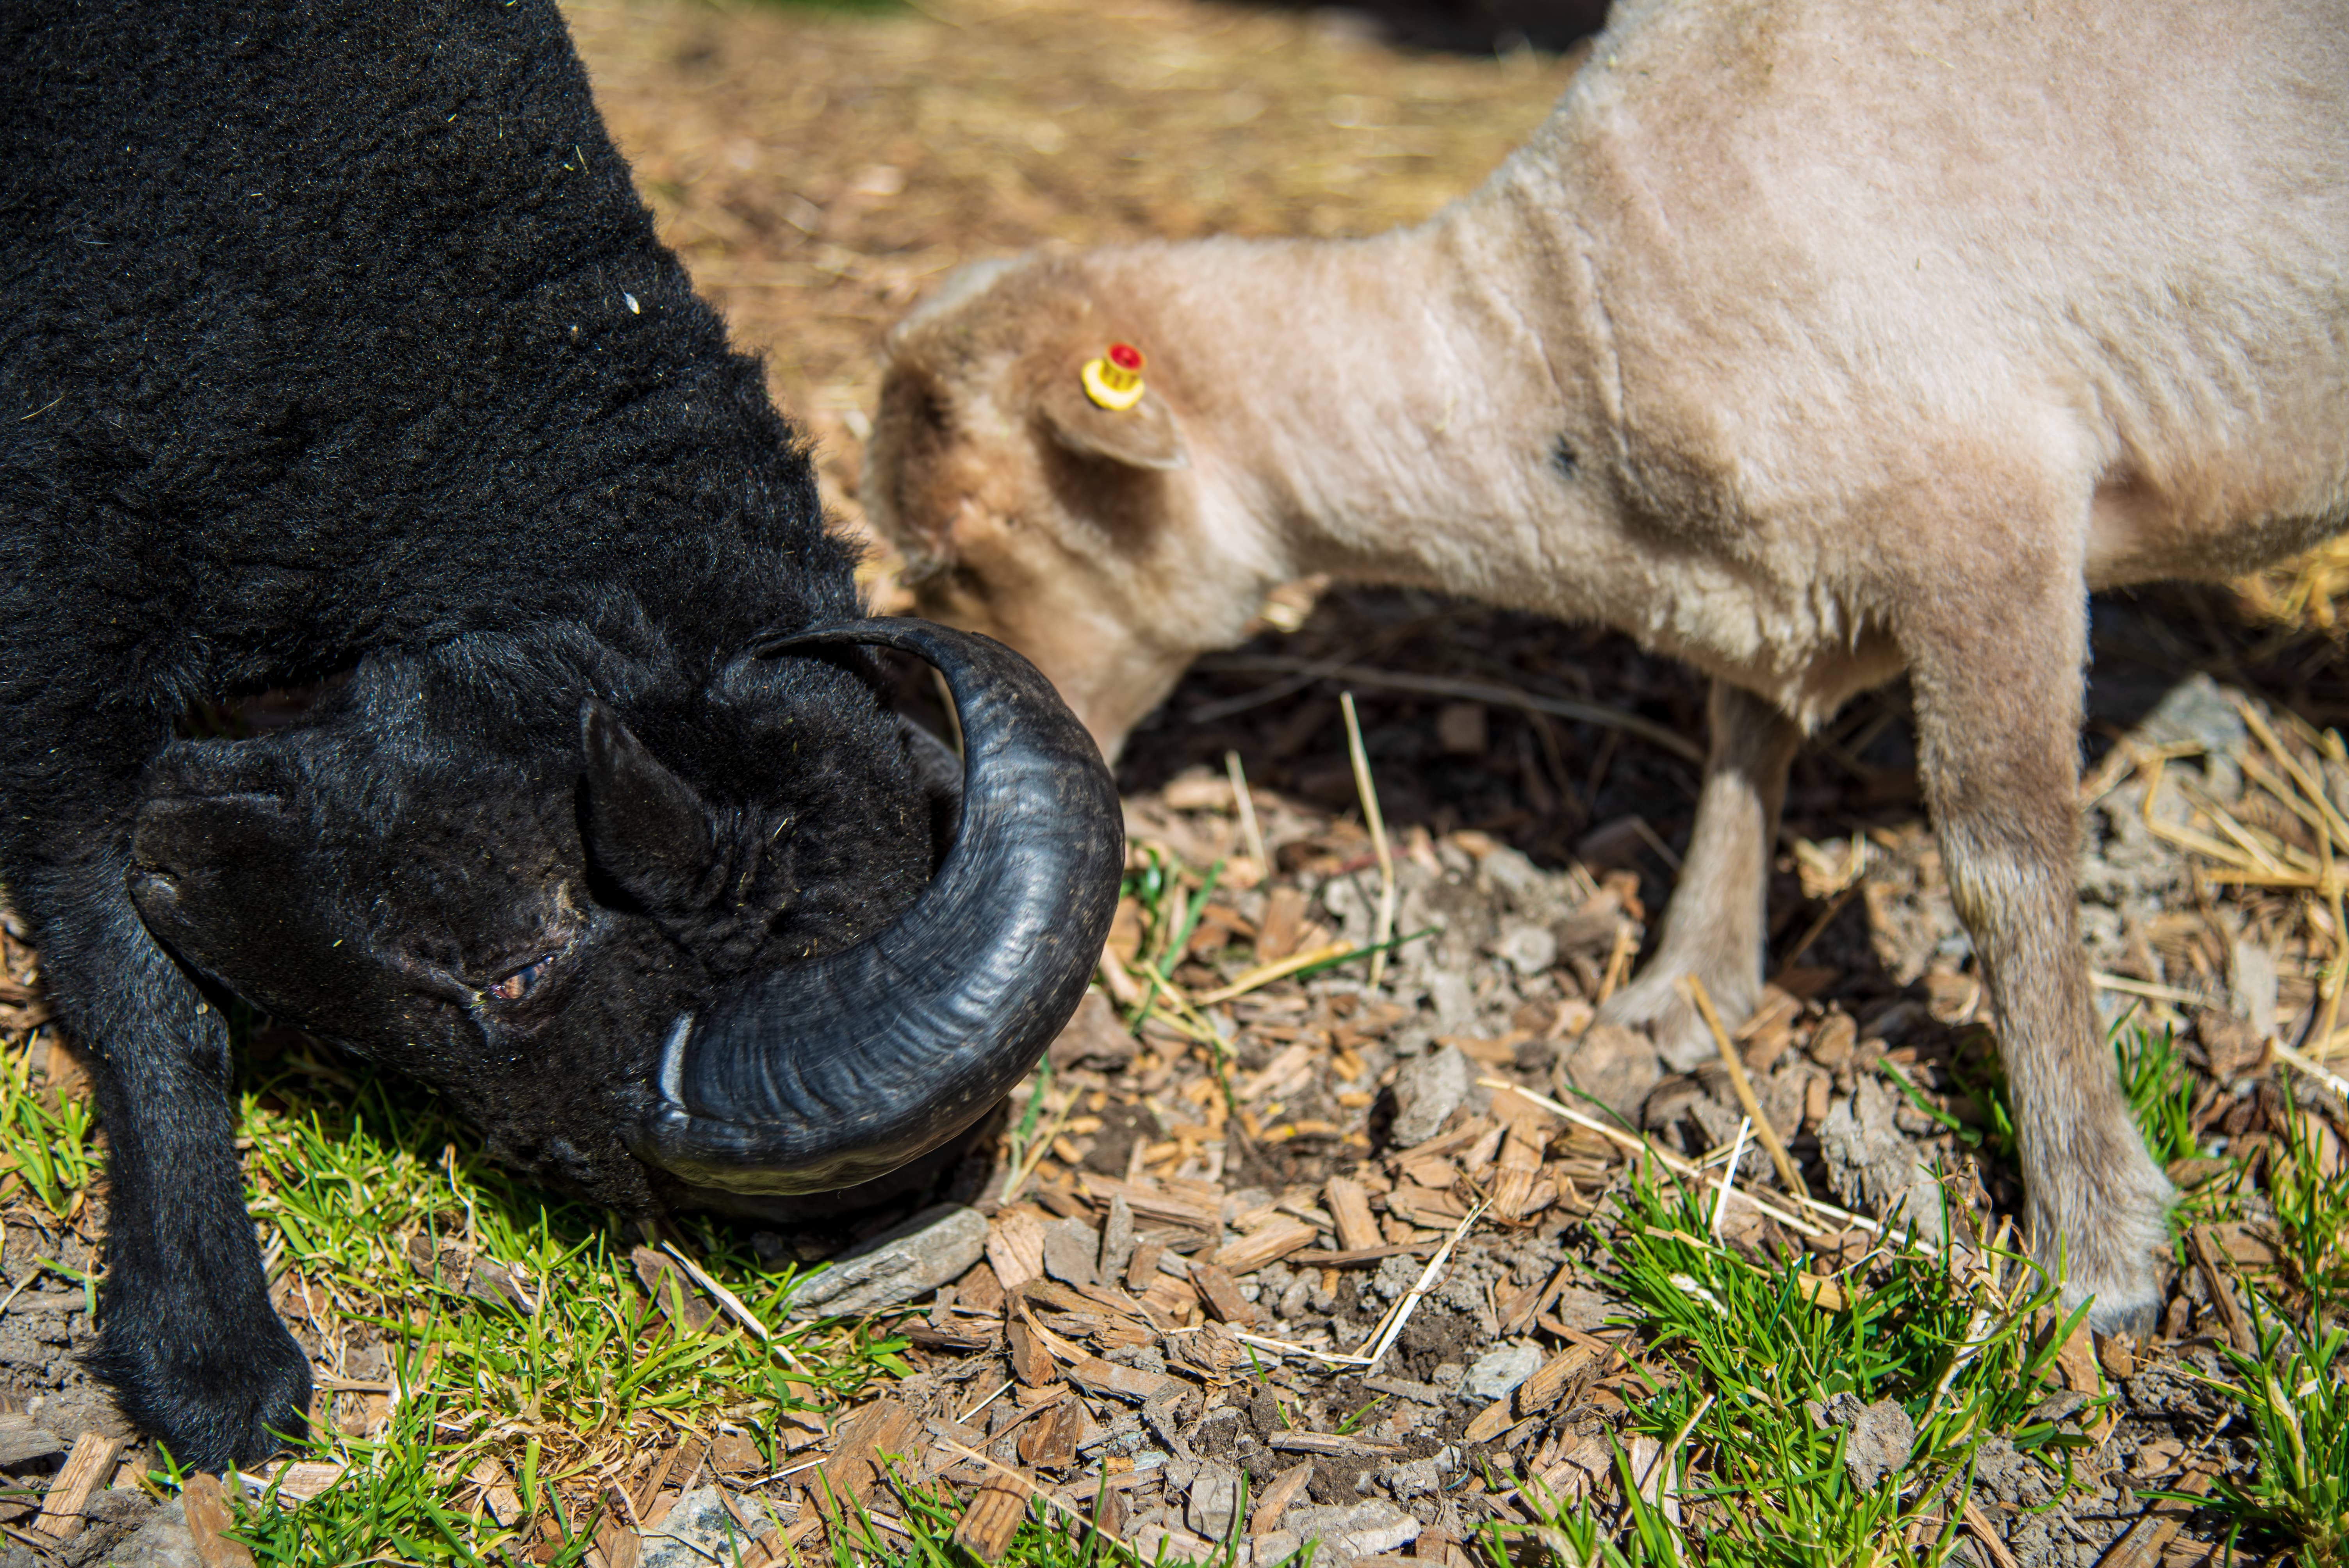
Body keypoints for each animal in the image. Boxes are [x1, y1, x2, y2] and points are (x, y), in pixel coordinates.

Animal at [865, 0, 2349, 1333]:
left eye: (958, 551)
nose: (954, 773)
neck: (1555, 348)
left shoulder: (1984, 516)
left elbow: (2006, 866)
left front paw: (2094, 1232)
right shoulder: (1767, 573)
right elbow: (1740, 747)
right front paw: (1685, 985)